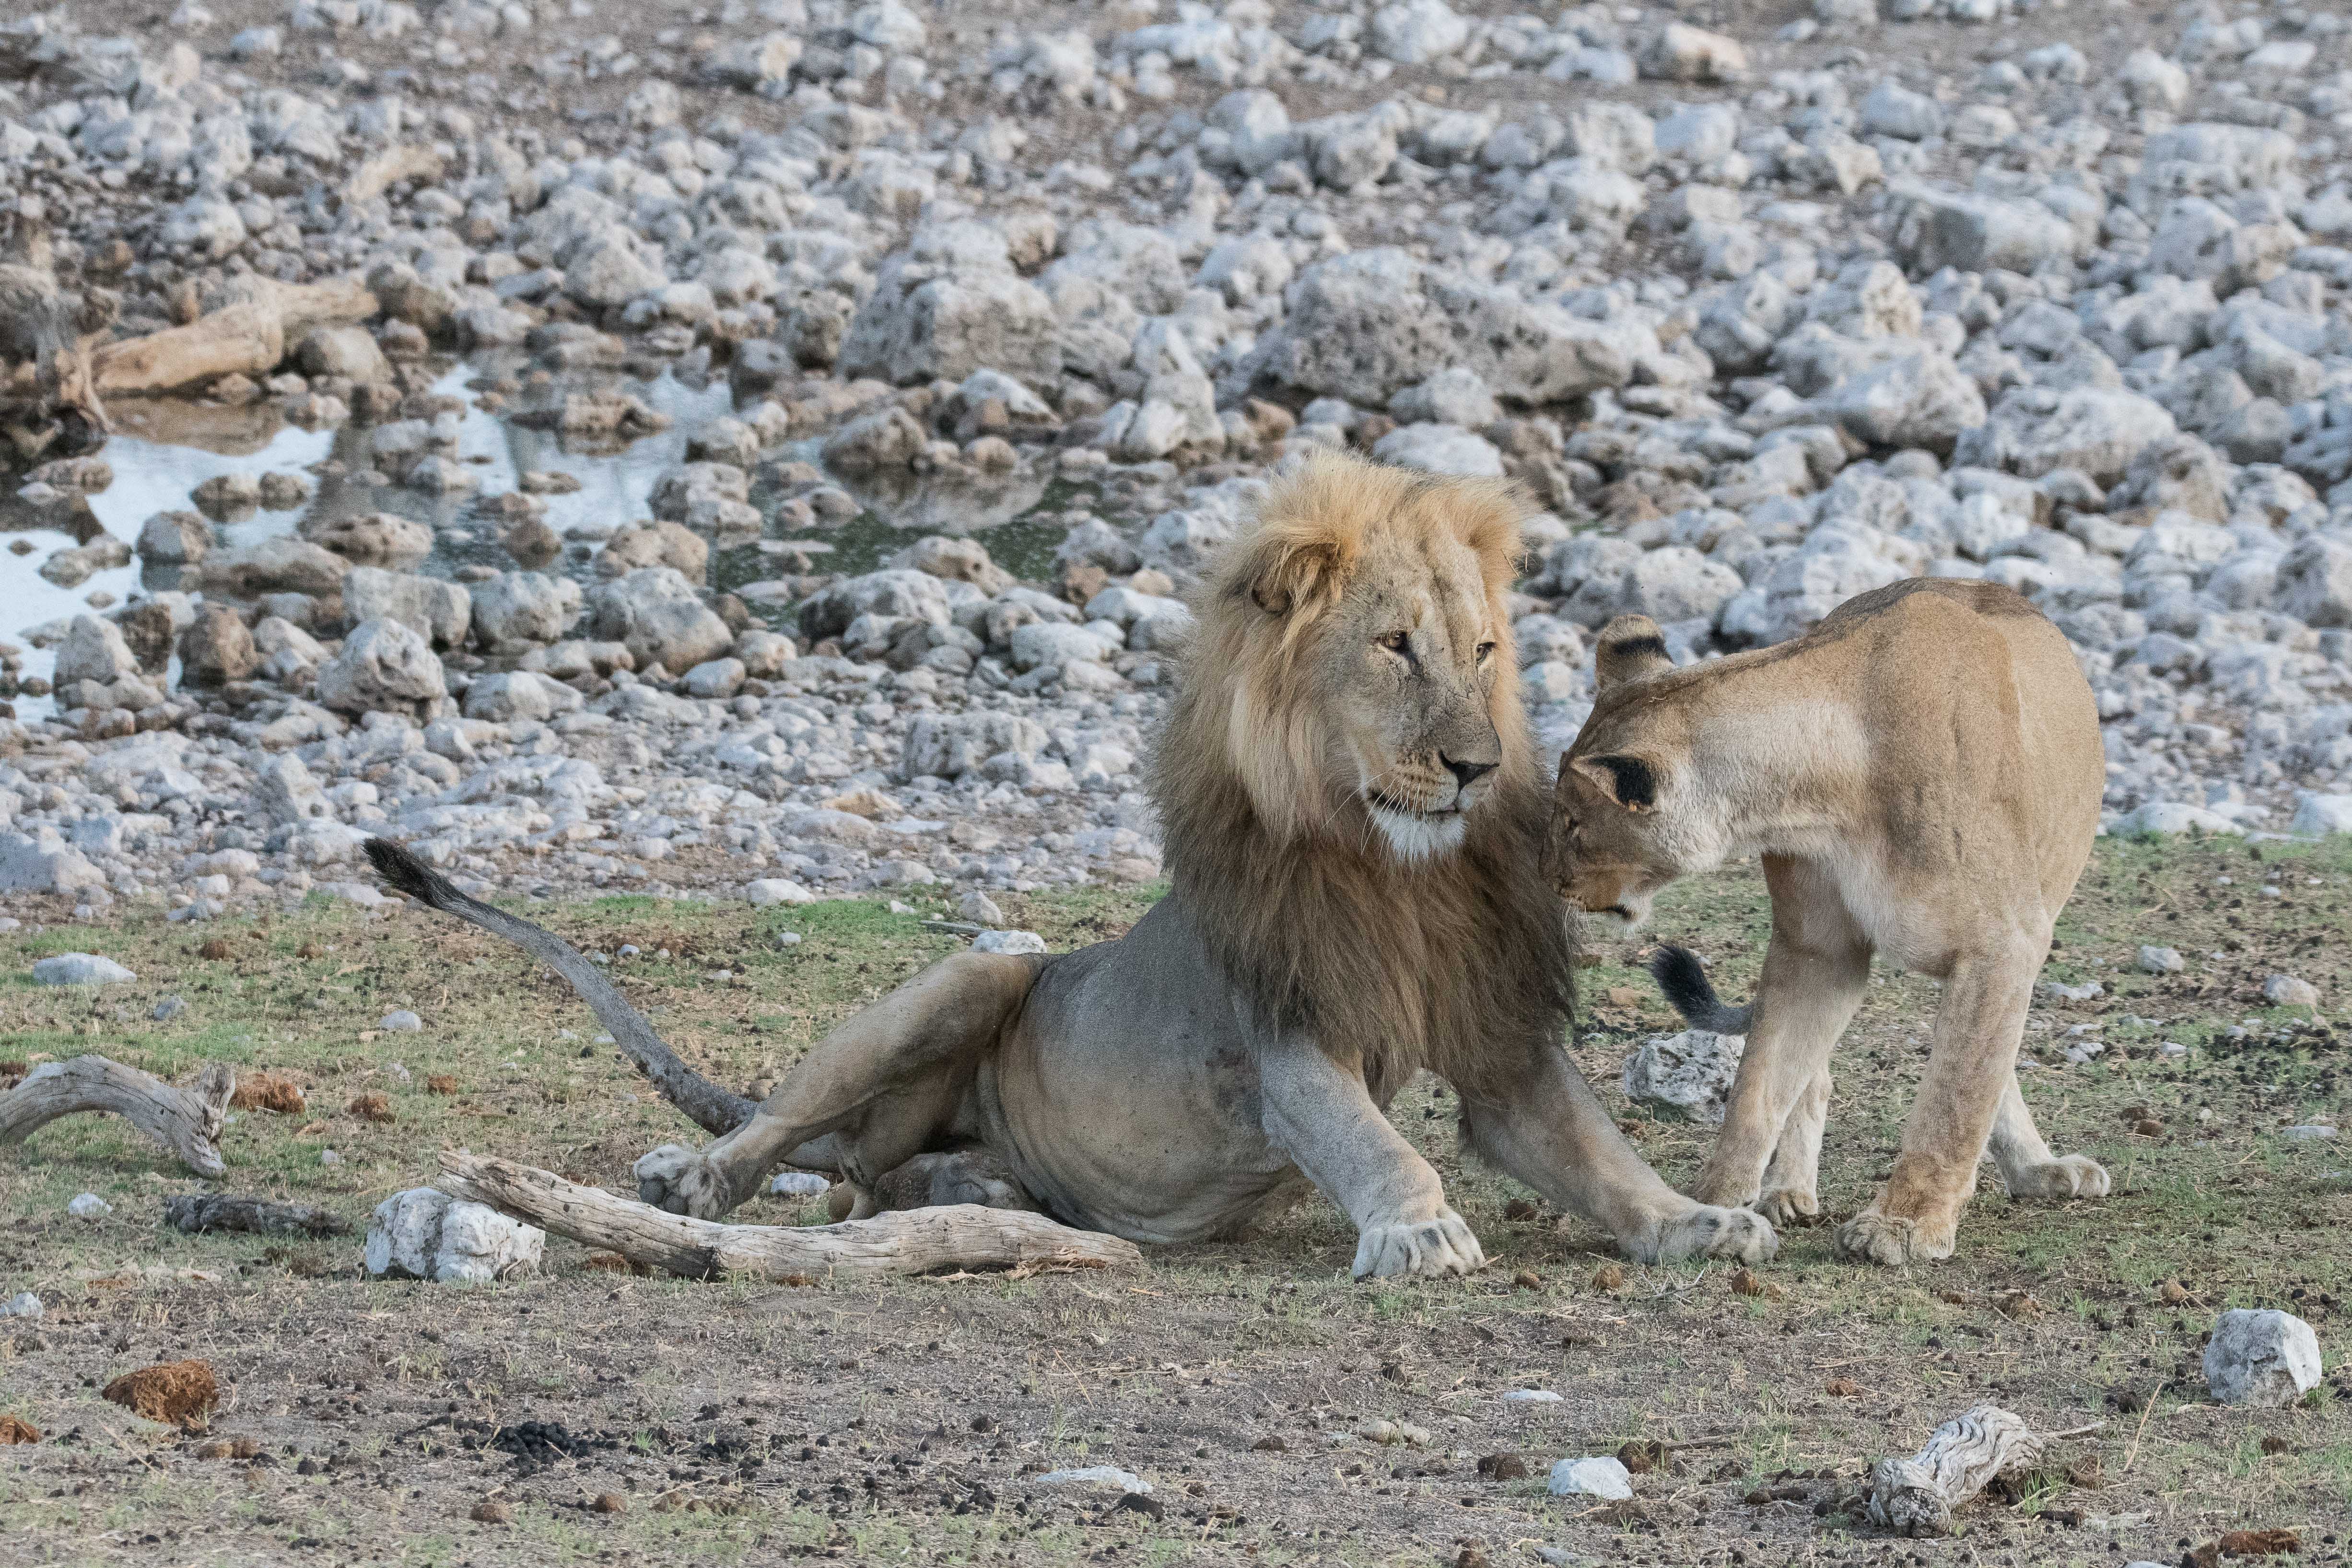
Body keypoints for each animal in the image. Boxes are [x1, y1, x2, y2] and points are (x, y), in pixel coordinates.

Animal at [367, 446, 1768, 1278]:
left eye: (1482, 652)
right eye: (1394, 647)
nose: (1476, 765)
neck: (1395, 867)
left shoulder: (1497, 1045)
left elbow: (1596, 1150)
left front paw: (1697, 1219)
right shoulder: (1286, 1039)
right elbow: (1379, 1144)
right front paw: (1419, 1227)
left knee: (872, 1180)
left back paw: (952, 1183)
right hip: (976, 975)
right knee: (782, 1128)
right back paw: (702, 1174)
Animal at [1543, 583, 2117, 1269]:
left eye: (1574, 825)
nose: (1552, 880)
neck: (1824, 787)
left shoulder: (2003, 944)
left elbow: (1955, 1097)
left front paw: (1905, 1224)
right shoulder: (1819, 949)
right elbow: (1759, 1088)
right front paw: (1711, 1206)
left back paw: (2038, 1172)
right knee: (1814, 1079)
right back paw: (1787, 1192)